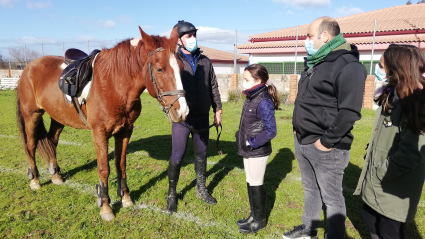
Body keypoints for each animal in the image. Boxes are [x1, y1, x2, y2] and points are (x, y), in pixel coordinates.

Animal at [16, 27, 188, 221]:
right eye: (159, 69)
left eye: (181, 68)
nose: (182, 112)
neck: (114, 84)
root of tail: (29, 67)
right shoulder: (99, 132)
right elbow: (104, 168)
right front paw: (105, 206)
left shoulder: (125, 131)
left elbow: (121, 165)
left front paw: (125, 198)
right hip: (31, 115)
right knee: (30, 145)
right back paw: (34, 180)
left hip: (58, 118)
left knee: (52, 142)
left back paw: (56, 176)